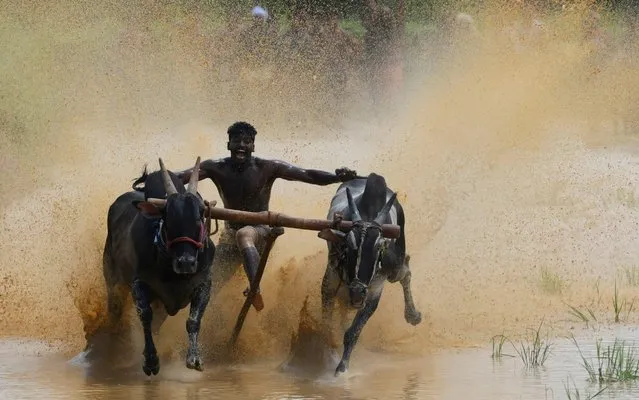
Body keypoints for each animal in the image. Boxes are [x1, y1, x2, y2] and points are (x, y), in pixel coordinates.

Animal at [102, 157, 215, 376]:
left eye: (200, 215)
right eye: (167, 218)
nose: (186, 262)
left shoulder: (204, 283)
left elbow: (193, 320)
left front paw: (194, 358)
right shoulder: (139, 283)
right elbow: (145, 317)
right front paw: (151, 361)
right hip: (111, 278)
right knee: (115, 308)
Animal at [318, 173, 422, 376]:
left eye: (378, 248)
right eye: (348, 244)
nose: (358, 292)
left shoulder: (374, 291)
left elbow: (352, 333)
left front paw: (341, 368)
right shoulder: (331, 279)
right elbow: (327, 326)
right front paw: (328, 357)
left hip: (394, 268)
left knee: (406, 269)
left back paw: (412, 315)